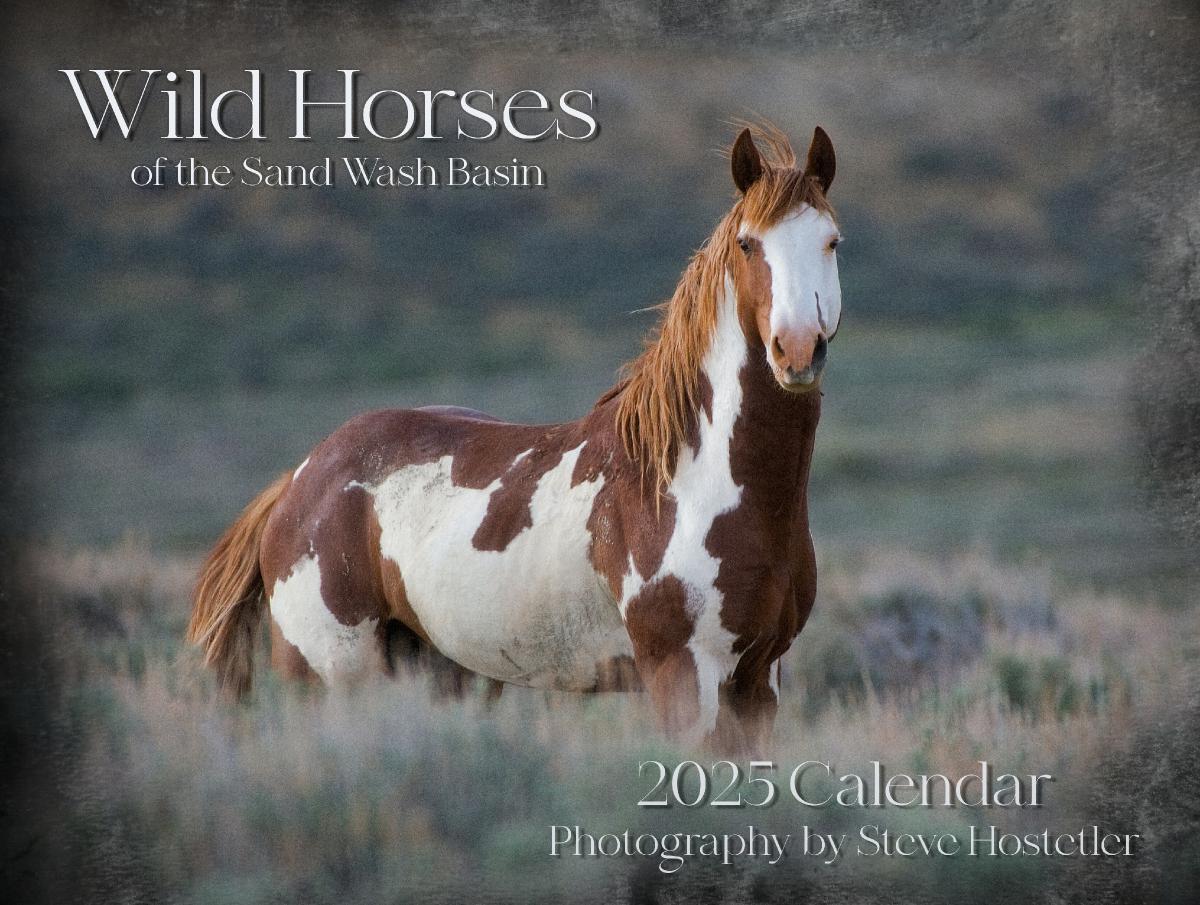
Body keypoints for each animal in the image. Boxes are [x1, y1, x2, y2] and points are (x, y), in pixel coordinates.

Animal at [187, 124, 842, 753]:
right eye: (747, 244)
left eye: (832, 241)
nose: (797, 350)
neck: (690, 483)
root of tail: (299, 480)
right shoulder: (684, 673)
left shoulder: (759, 677)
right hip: (332, 678)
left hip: (439, 673)